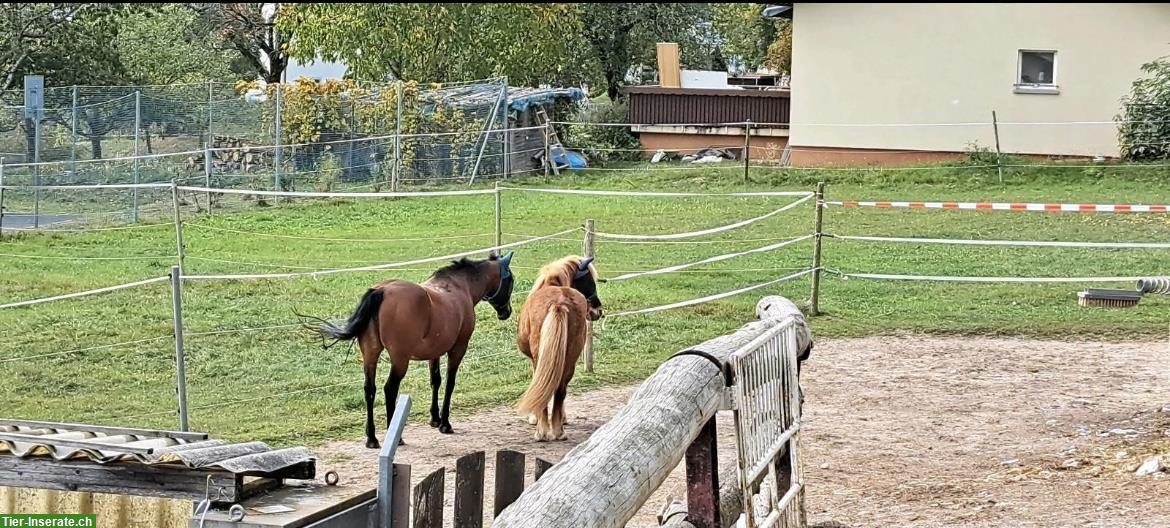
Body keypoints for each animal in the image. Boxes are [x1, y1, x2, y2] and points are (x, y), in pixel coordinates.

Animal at [301, 251, 517, 447]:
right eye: (511, 281)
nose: (506, 312)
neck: (459, 286)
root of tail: (381, 291)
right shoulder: (458, 348)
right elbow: (450, 382)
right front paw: (445, 423)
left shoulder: (435, 352)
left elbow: (435, 381)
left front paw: (435, 418)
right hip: (400, 360)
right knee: (390, 389)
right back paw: (395, 437)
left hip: (370, 355)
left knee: (369, 389)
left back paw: (372, 438)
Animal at [514, 256, 599, 442]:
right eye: (589, 280)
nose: (598, 311)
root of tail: (559, 303)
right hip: (570, 357)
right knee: (561, 389)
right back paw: (558, 431)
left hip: (541, 357)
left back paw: (543, 431)